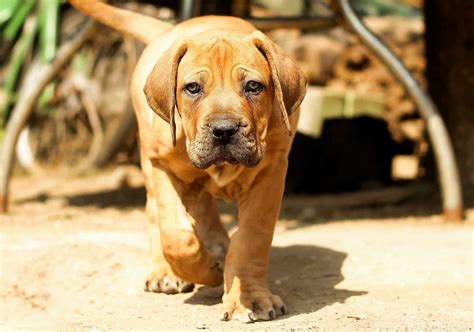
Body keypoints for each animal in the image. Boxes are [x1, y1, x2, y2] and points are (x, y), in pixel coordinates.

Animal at [69, 0, 308, 322]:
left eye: (253, 86)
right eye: (192, 88)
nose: (224, 130)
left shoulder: (269, 174)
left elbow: (250, 240)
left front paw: (249, 298)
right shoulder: (162, 166)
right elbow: (176, 234)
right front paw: (206, 270)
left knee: (205, 208)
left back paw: (217, 246)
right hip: (149, 159)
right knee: (156, 213)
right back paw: (167, 271)